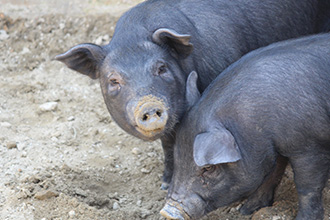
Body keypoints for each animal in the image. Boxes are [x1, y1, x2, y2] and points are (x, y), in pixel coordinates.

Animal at [161, 33, 330, 220]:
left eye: (209, 168)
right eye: (177, 157)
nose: (168, 211)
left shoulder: (309, 146)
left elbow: (307, 187)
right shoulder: (273, 146)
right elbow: (272, 173)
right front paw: (246, 210)